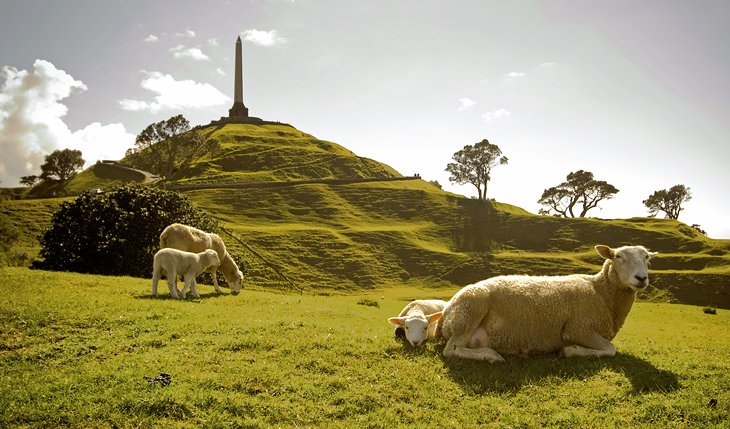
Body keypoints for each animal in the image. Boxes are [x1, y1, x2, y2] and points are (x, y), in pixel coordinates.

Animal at [436, 244, 656, 362]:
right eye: (618, 256)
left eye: (647, 257)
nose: (641, 278)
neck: (601, 292)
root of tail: (446, 312)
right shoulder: (577, 329)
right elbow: (610, 349)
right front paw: (570, 351)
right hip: (470, 310)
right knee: (451, 350)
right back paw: (490, 355)